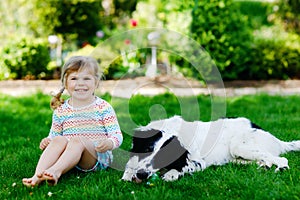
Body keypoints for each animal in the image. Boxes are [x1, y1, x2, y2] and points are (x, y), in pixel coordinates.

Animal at [121, 115, 300, 183]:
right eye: (147, 150)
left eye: (164, 157)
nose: (142, 175)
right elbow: (130, 164)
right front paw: (128, 174)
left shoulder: (197, 162)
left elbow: (181, 167)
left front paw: (171, 174)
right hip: (237, 157)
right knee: (264, 159)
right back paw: (264, 166)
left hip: (238, 145)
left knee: (281, 158)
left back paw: (280, 167)